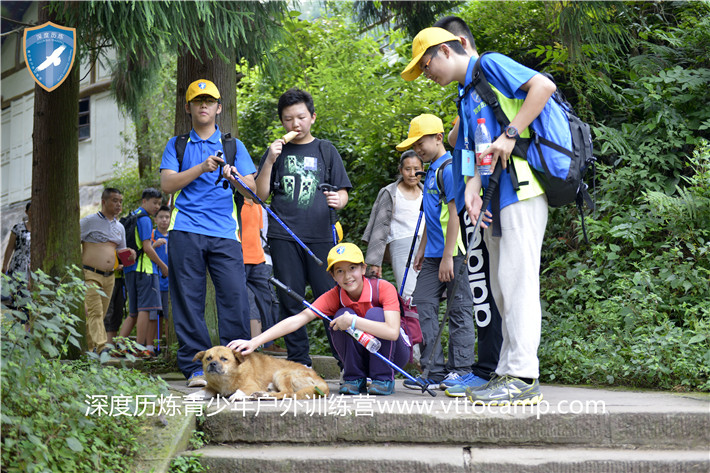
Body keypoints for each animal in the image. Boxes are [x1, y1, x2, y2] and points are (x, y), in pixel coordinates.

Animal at [191, 344, 332, 400]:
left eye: (224, 359)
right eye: (208, 358)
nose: (212, 364)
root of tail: (319, 379)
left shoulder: (251, 385)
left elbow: (240, 390)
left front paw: (236, 395)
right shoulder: (211, 388)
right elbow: (202, 391)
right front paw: (193, 396)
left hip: (280, 373)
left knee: (287, 393)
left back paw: (261, 395)